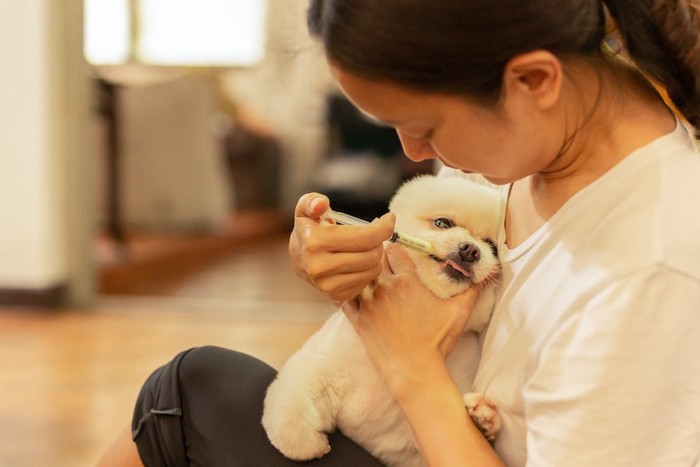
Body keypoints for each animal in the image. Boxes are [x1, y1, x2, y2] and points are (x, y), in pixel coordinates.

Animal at [264, 176, 504, 467]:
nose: (470, 250)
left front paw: (483, 420)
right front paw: (308, 445)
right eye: (442, 223)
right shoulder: (318, 368)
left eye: (492, 246)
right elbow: (290, 408)